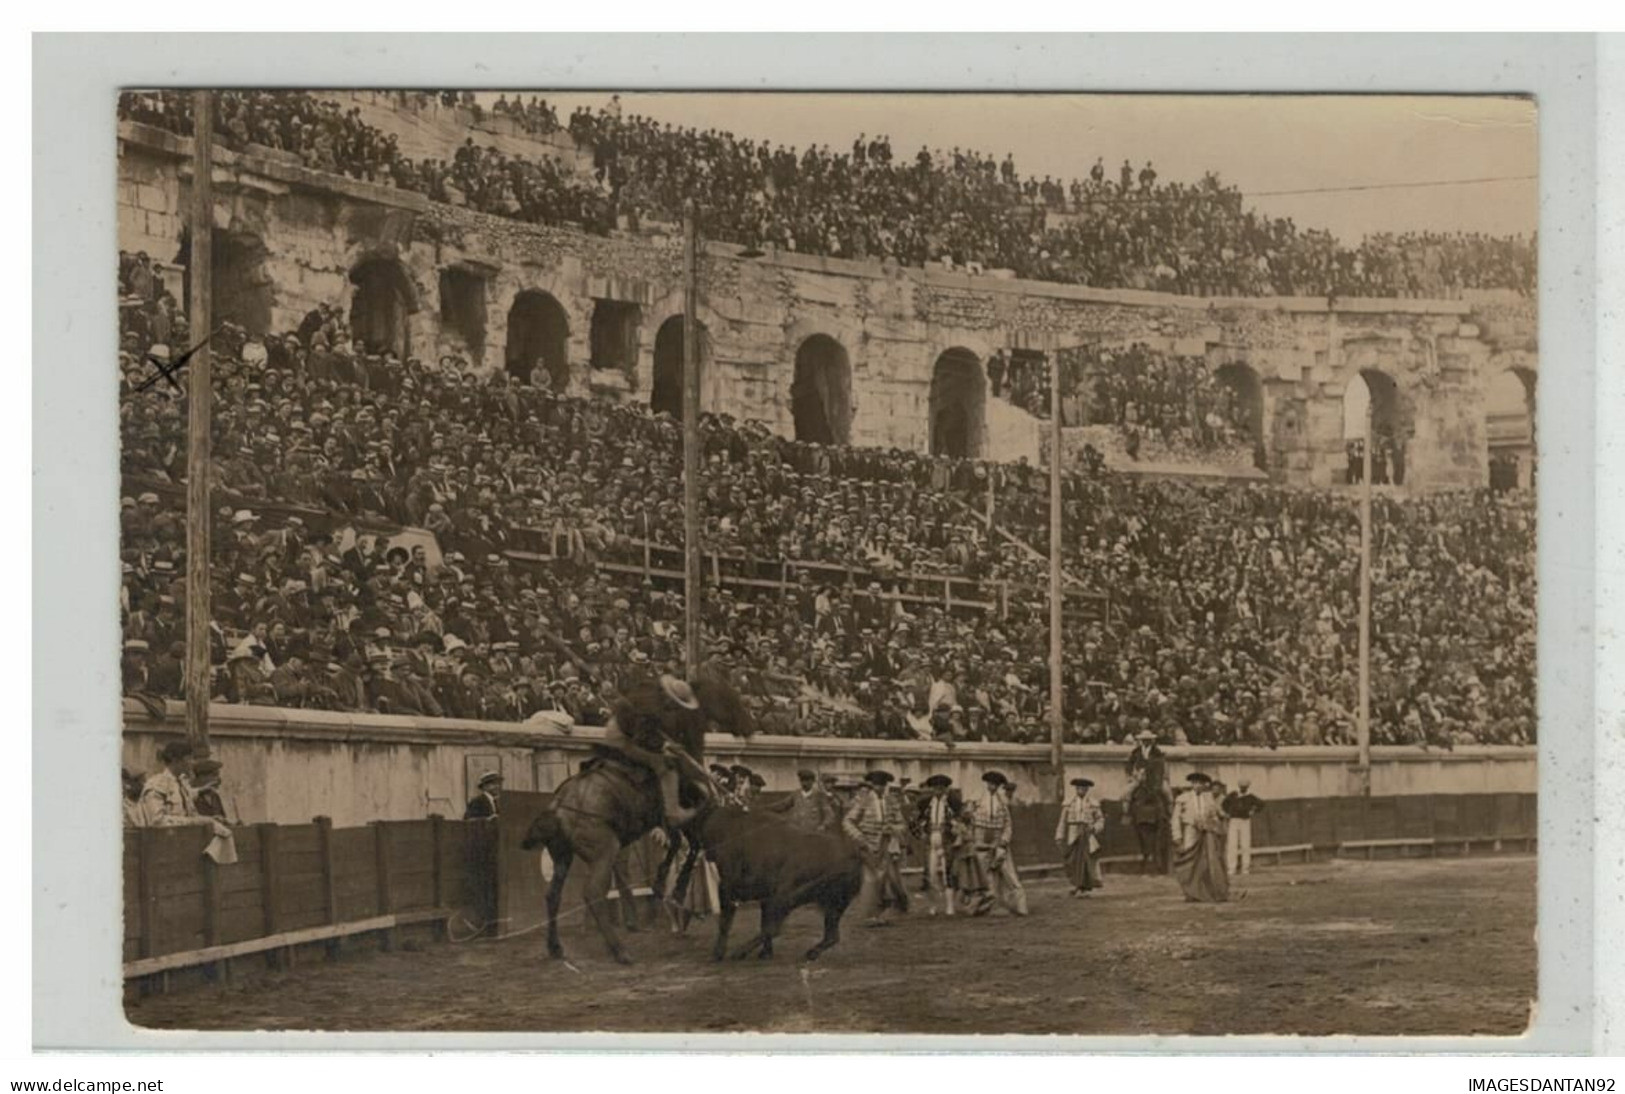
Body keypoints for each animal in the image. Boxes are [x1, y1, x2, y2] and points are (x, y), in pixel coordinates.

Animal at [520, 669, 747, 962]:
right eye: (727, 695)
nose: (748, 727)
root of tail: (558, 807)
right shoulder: (689, 813)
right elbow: (692, 844)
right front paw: (676, 892)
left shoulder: (668, 821)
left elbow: (678, 844)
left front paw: (664, 885)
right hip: (604, 850)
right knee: (592, 893)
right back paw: (620, 950)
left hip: (562, 855)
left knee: (552, 896)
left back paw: (556, 947)